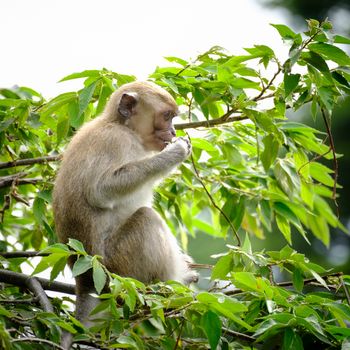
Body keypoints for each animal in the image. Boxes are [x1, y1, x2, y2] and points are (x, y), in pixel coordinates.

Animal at [52, 81, 200, 340]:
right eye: (167, 116)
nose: (173, 132)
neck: (122, 125)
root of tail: (86, 280)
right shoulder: (116, 141)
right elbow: (99, 191)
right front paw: (176, 152)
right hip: (119, 268)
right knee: (146, 218)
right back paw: (173, 284)